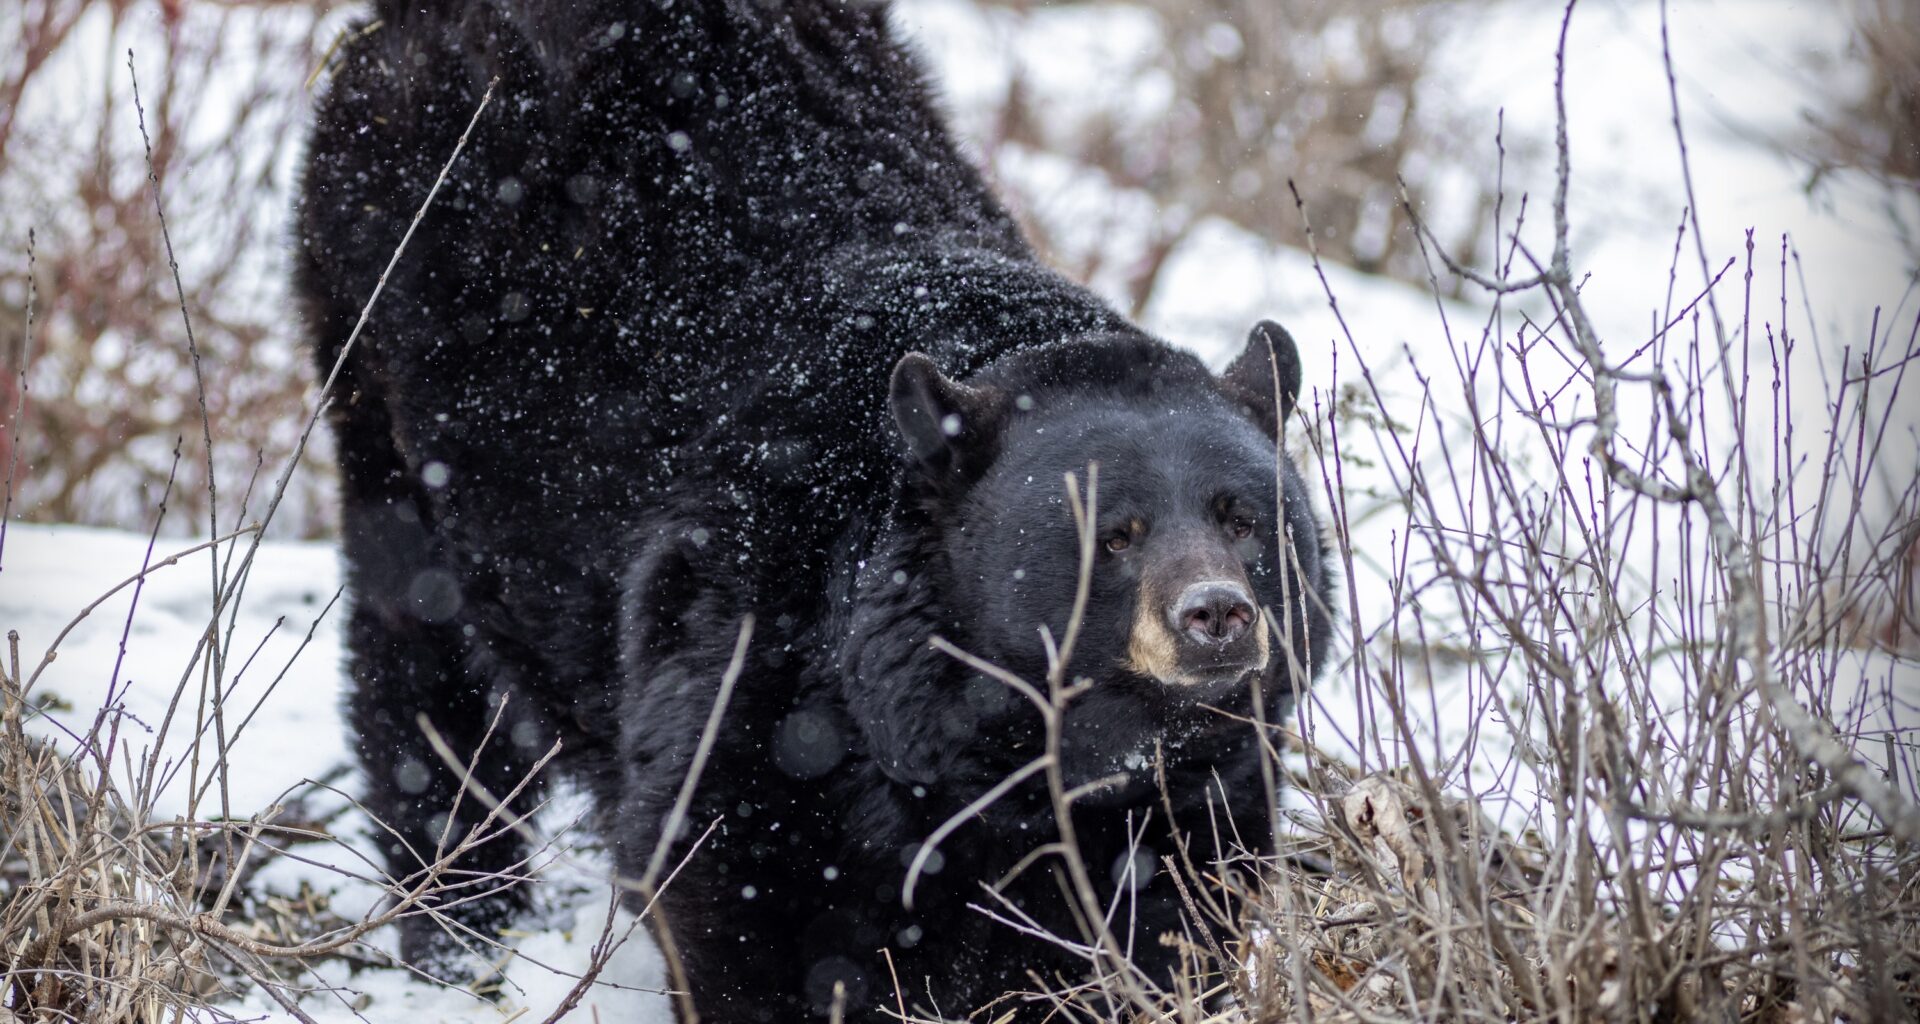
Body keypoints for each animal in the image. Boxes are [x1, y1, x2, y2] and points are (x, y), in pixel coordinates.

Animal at [294, 0, 1334, 1020]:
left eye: (1242, 519)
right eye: (1111, 533)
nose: (1216, 614)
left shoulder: (1190, 787)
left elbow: (1165, 921)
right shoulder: (750, 656)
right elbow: (730, 889)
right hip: (378, 366)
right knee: (421, 668)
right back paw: (455, 922)